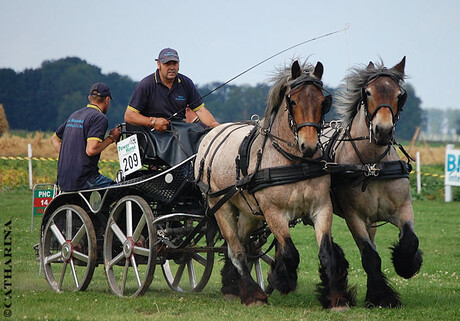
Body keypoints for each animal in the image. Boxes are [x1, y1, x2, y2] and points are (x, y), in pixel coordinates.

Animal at [194, 59, 356, 308]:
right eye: (292, 100)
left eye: (323, 102)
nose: (309, 146)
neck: (294, 161)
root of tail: (212, 133)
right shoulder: (274, 212)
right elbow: (290, 252)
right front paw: (281, 280)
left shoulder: (321, 207)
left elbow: (327, 253)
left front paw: (337, 298)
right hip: (220, 207)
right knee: (236, 250)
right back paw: (253, 295)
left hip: (248, 212)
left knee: (242, 244)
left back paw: (232, 287)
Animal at [326, 56, 422, 306]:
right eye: (367, 92)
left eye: (400, 94)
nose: (383, 131)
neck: (372, 166)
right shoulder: (355, 217)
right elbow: (370, 257)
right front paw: (381, 296)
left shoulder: (403, 208)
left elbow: (410, 241)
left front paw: (408, 264)